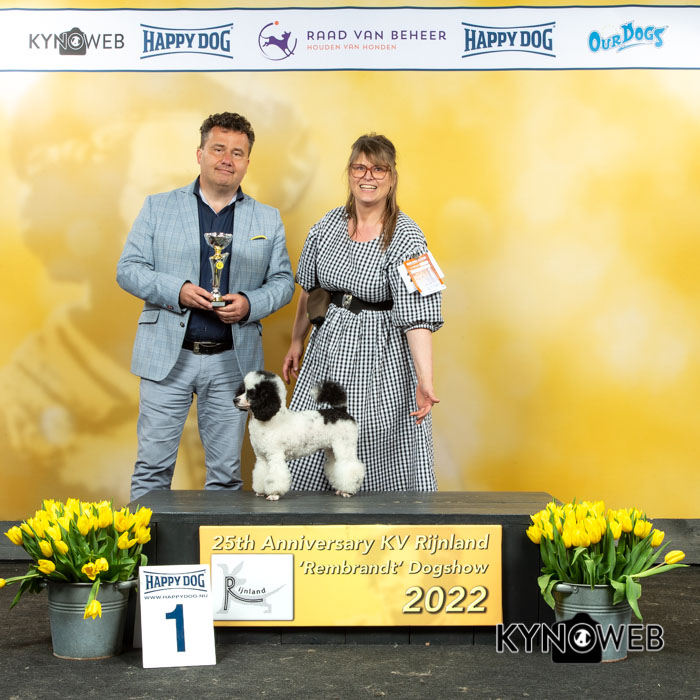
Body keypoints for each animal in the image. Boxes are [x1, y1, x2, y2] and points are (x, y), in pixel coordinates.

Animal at [234, 371, 365, 501]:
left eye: (252, 394)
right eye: (242, 390)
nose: (235, 400)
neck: (270, 419)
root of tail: (341, 411)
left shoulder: (275, 456)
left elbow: (275, 477)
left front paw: (274, 494)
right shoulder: (262, 458)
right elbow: (261, 474)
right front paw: (261, 491)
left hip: (344, 447)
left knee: (350, 466)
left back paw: (348, 490)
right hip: (331, 449)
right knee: (336, 467)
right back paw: (340, 489)